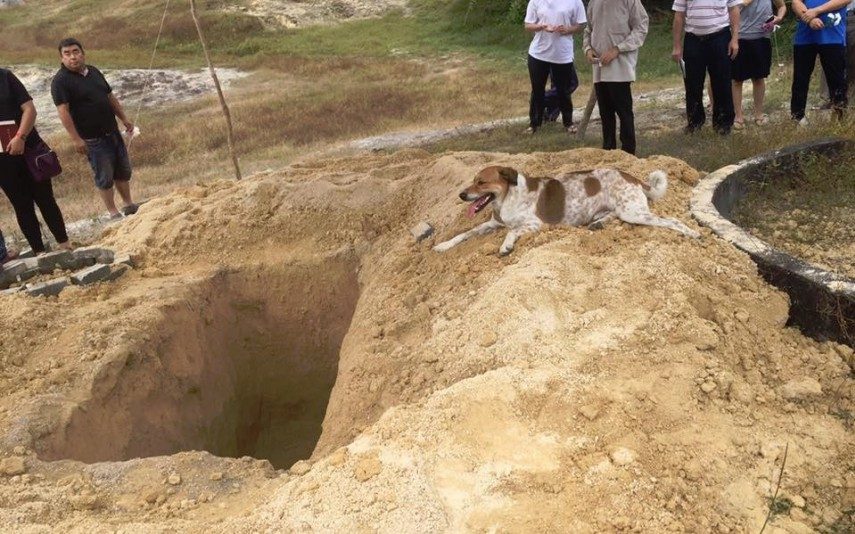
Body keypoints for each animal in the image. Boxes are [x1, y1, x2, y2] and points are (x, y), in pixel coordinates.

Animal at [434, 165, 704, 258]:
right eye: (472, 181)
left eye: (481, 182)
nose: (461, 195)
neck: (508, 198)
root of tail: (635, 178)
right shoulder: (492, 223)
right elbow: (464, 234)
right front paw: (443, 245)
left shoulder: (534, 225)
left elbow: (511, 232)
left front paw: (505, 246)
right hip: (620, 211)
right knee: (610, 216)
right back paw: (597, 224)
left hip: (634, 213)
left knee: (671, 221)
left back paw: (693, 234)